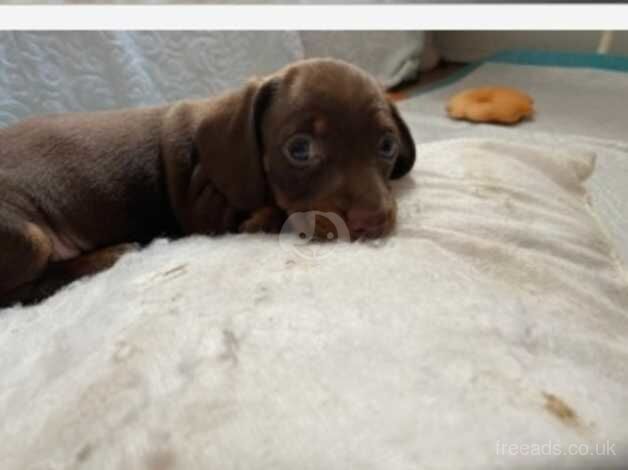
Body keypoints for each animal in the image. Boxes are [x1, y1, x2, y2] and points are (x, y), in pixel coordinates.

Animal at [1, 58, 418, 306]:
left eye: (387, 145)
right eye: (299, 149)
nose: (372, 222)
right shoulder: (212, 208)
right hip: (27, 234)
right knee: (20, 292)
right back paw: (109, 255)